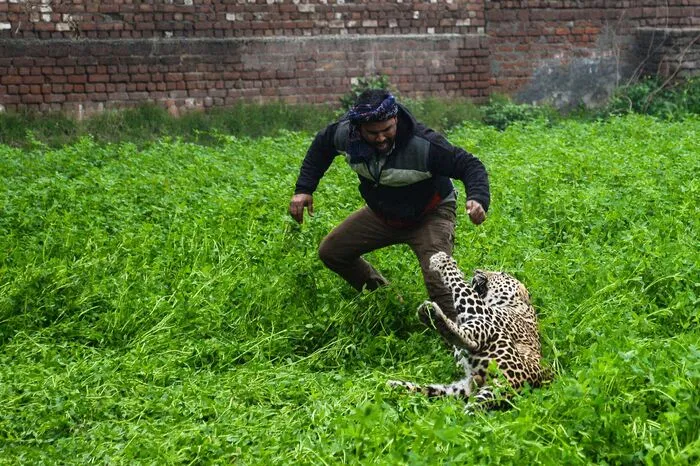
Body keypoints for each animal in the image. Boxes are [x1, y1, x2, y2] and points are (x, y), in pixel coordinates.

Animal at [388, 251, 547, 410]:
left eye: (502, 274)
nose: (477, 271)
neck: (520, 306)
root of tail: (510, 386)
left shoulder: (483, 310)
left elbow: (461, 284)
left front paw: (443, 261)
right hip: (457, 391)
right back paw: (395, 385)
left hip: (493, 336)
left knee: (469, 340)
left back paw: (431, 317)